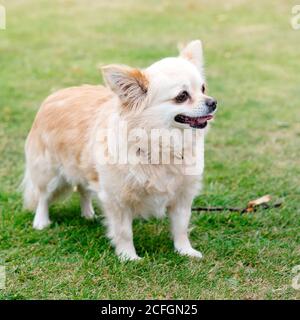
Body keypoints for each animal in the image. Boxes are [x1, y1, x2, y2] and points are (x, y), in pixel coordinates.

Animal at [21, 40, 218, 260]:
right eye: (182, 96)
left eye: (203, 88)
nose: (213, 102)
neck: (160, 144)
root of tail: (56, 94)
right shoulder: (117, 198)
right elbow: (124, 231)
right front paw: (128, 257)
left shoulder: (182, 195)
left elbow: (181, 227)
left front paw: (185, 250)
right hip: (49, 173)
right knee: (43, 196)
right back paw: (41, 221)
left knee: (83, 190)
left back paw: (88, 214)